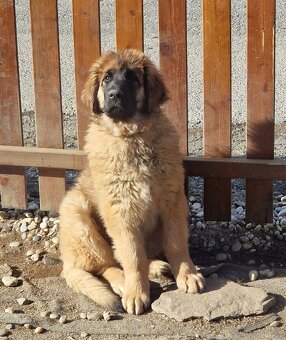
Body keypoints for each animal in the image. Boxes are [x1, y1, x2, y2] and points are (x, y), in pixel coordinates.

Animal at [59, 49, 204, 314]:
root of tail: (67, 261)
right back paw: (123, 282)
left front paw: (187, 274)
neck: (132, 135)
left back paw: (156, 266)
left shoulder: (173, 200)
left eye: (132, 78)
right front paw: (136, 292)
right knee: (107, 264)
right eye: (106, 78)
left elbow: (176, 243)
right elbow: (131, 256)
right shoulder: (120, 211)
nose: (114, 95)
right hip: (78, 217)